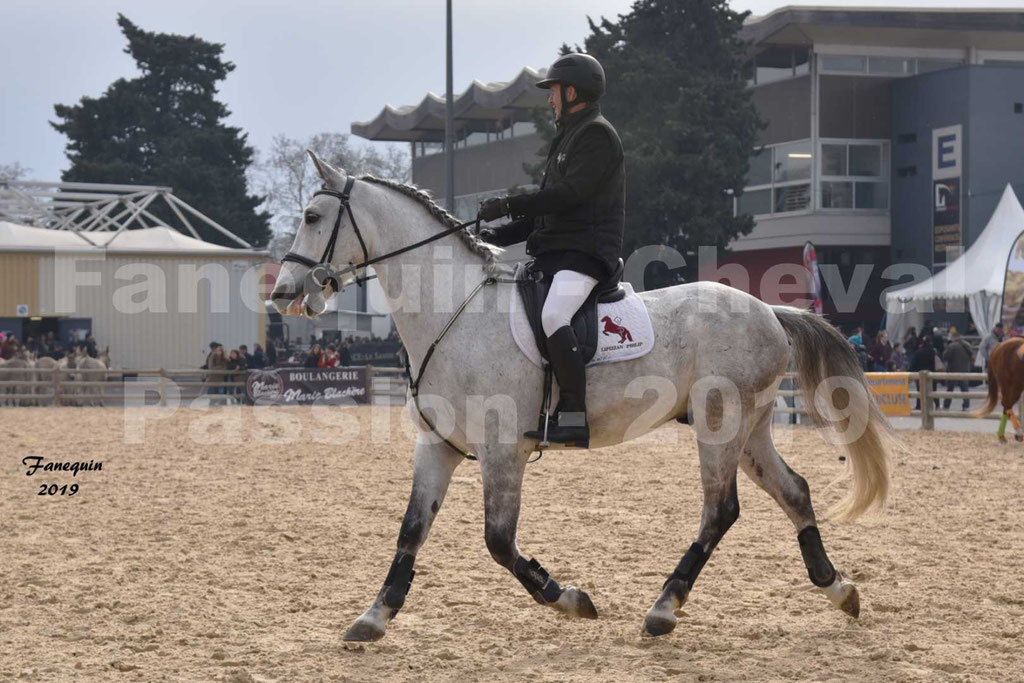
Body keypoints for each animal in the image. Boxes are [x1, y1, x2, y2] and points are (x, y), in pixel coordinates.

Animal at [270, 153, 888, 643]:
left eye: (312, 217)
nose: (282, 293)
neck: (454, 311)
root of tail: (770, 311)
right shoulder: (437, 447)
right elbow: (411, 530)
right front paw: (374, 616)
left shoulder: (502, 452)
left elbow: (498, 542)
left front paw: (568, 598)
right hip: (749, 430)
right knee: (794, 491)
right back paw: (839, 590)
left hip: (720, 426)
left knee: (721, 510)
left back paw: (664, 608)